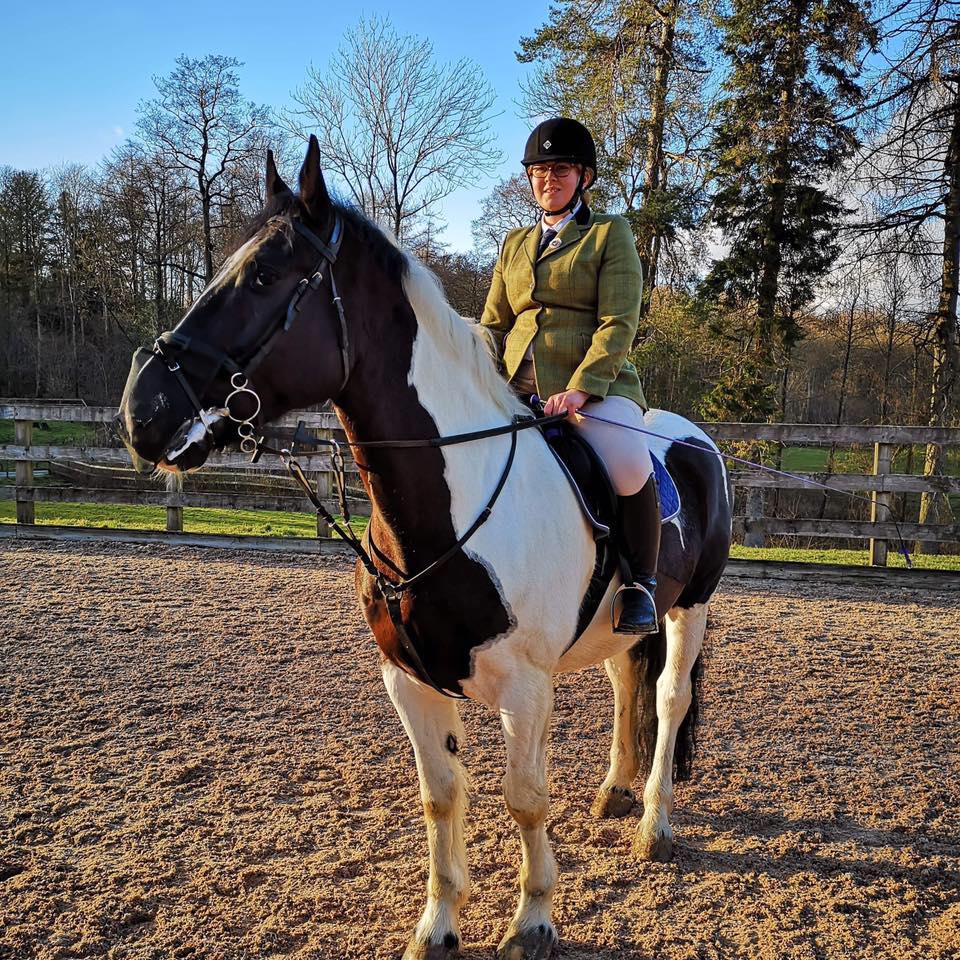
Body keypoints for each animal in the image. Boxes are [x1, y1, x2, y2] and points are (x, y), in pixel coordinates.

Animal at [122, 137, 736, 960]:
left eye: (261, 277)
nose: (142, 411)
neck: (450, 505)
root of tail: (691, 436)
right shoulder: (408, 680)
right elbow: (441, 797)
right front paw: (439, 924)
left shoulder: (525, 687)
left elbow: (524, 799)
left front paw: (533, 921)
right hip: (621, 625)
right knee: (622, 685)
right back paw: (614, 792)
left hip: (689, 608)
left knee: (668, 698)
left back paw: (653, 823)